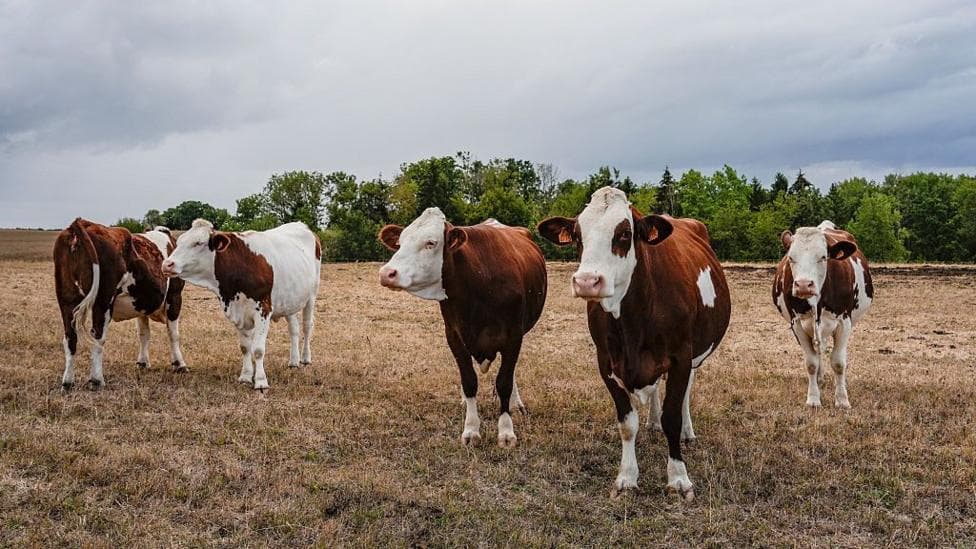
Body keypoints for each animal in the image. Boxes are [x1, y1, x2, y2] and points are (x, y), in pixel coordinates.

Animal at [54, 218, 188, 390]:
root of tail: (82, 223)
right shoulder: (175, 296)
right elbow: (173, 334)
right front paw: (179, 364)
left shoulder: (141, 305)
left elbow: (143, 334)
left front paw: (142, 362)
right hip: (103, 299)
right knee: (98, 336)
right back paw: (96, 380)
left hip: (66, 300)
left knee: (70, 337)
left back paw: (68, 382)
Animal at [161, 219, 321, 391]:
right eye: (179, 242)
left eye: (198, 243)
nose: (167, 264)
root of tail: (301, 225)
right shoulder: (239, 312)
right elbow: (245, 347)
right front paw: (245, 376)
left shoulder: (263, 309)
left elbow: (258, 349)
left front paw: (260, 381)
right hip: (290, 300)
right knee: (294, 329)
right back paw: (293, 361)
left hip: (311, 295)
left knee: (307, 326)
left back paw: (305, 358)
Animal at [377, 208, 547, 448]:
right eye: (400, 242)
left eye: (431, 242)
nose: (387, 273)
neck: (478, 284)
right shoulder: (454, 335)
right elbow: (469, 381)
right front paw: (471, 429)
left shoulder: (514, 336)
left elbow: (504, 381)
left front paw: (506, 431)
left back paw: (516, 403)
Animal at [538, 186, 730, 500]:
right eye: (578, 235)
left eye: (625, 233)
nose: (587, 281)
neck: (633, 319)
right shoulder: (606, 361)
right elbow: (627, 424)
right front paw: (627, 476)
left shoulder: (681, 357)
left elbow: (672, 417)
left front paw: (679, 478)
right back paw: (653, 421)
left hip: (695, 354)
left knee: (687, 390)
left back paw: (687, 431)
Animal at [773, 221, 873, 409]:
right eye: (791, 258)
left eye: (823, 257)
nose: (803, 285)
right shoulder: (797, 324)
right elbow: (811, 362)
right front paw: (813, 398)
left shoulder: (844, 322)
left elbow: (839, 363)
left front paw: (842, 400)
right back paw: (819, 378)